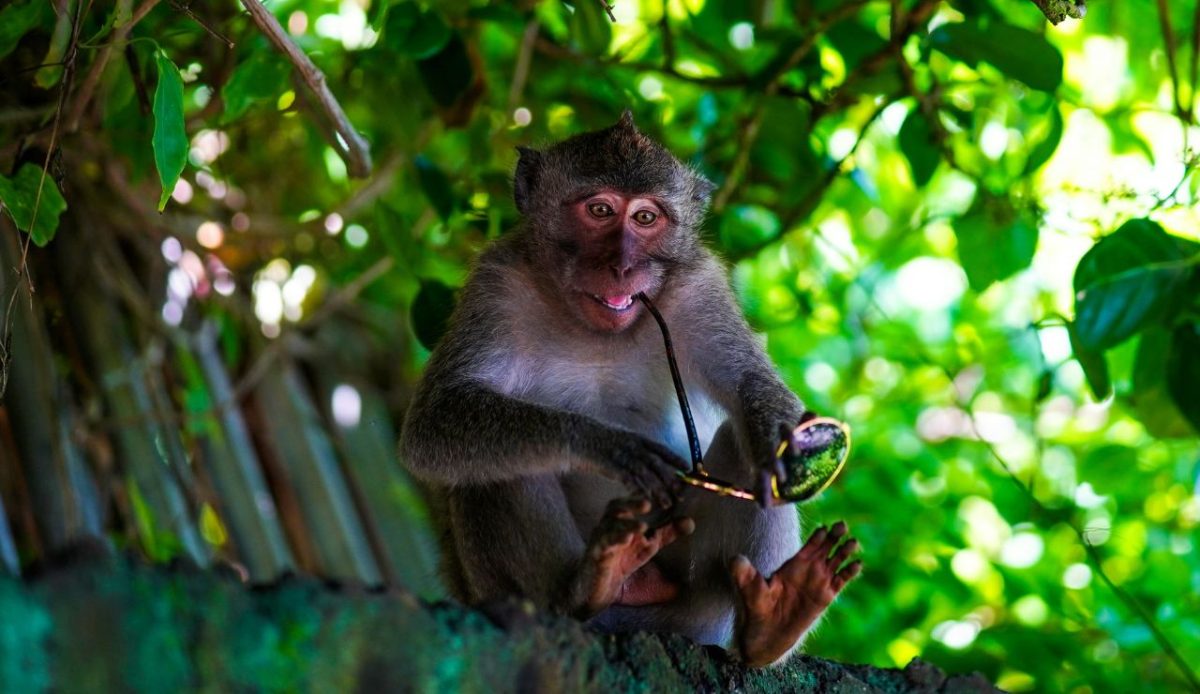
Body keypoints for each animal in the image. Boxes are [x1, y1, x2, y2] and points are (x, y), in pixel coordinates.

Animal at [400, 111, 861, 667]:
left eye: (645, 218)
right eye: (599, 210)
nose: (622, 265)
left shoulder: (698, 289)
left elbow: (752, 385)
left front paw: (782, 442)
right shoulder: (497, 286)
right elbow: (435, 422)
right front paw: (603, 445)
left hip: (693, 596)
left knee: (739, 438)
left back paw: (772, 621)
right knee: (493, 463)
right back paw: (588, 585)